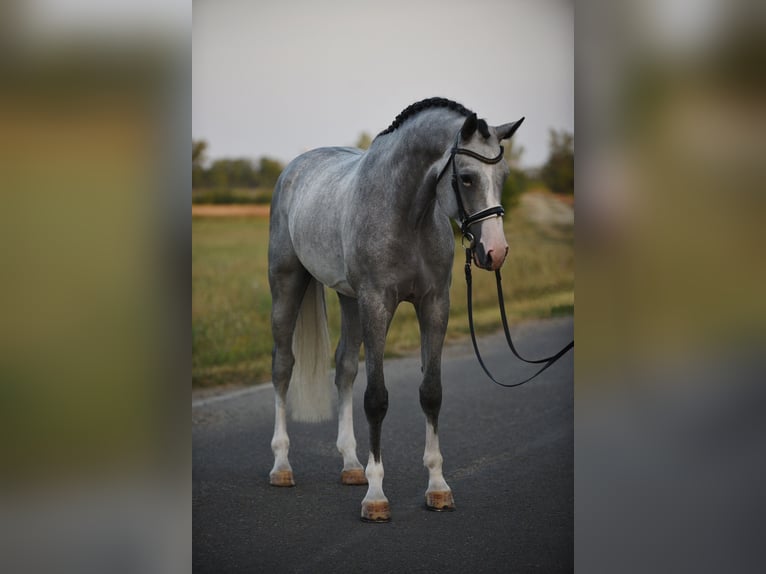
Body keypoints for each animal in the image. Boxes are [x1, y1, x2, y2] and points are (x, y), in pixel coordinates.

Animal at [268, 98, 524, 520]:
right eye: (467, 178)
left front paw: (438, 487)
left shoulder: (434, 305)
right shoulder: (376, 303)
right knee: (283, 367)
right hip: (287, 284)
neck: (405, 213)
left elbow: (431, 392)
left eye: (503, 175)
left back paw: (351, 466)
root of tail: (295, 167)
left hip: (349, 300)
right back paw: (282, 466)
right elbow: (376, 398)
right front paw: (376, 497)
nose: (496, 251)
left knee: (344, 367)